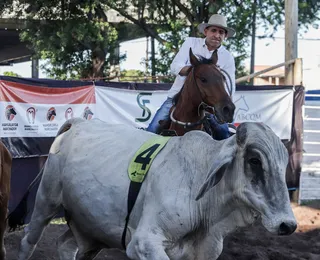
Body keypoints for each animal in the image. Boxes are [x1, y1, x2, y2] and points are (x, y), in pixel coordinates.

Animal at [18, 119, 296, 258]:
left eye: (284, 163)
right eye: (255, 160)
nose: (288, 225)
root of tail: (77, 123)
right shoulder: (143, 244)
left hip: (89, 228)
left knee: (67, 245)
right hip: (46, 201)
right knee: (27, 242)